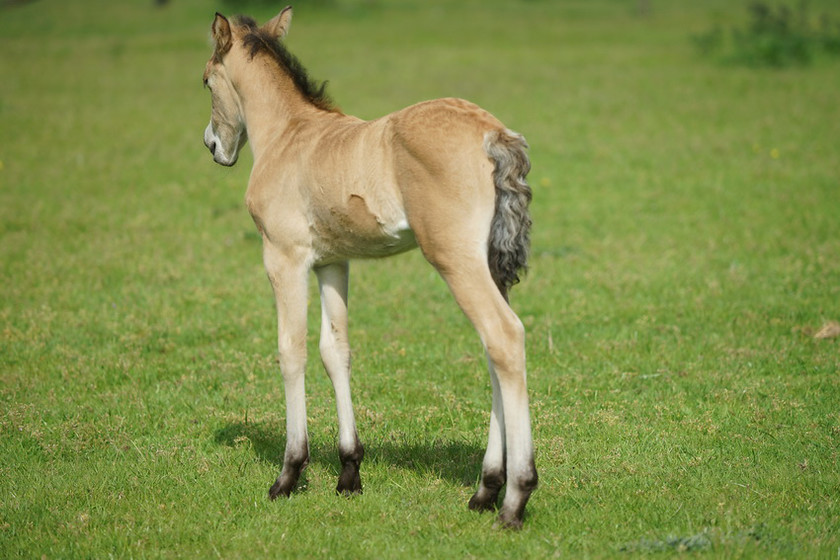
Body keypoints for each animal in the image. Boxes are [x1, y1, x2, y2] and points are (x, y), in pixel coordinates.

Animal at [200, 5, 536, 528]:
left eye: (205, 81)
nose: (213, 146)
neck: (289, 135)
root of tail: (493, 134)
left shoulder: (284, 257)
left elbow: (291, 350)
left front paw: (288, 475)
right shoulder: (333, 263)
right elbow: (335, 350)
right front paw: (349, 472)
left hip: (454, 258)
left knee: (503, 336)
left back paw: (515, 498)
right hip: (490, 265)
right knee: (494, 351)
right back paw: (485, 489)